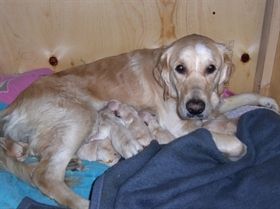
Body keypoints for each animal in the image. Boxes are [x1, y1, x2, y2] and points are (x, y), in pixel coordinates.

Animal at [0, 33, 278, 208]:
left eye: (211, 68)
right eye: (180, 68)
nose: (195, 108)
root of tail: (12, 107)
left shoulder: (212, 103)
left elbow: (241, 98)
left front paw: (267, 101)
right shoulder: (179, 127)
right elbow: (235, 141)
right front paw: (234, 142)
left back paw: (73, 162)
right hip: (79, 115)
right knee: (45, 176)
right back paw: (88, 201)